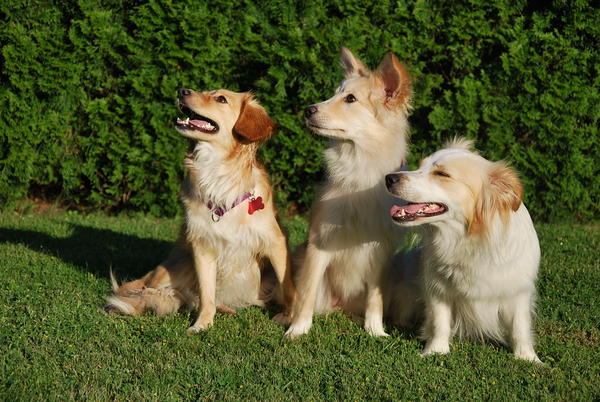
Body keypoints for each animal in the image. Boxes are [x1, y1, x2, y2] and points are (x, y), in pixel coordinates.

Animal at [106, 88, 296, 332]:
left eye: (221, 99)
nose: (181, 90)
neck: (218, 176)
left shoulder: (275, 243)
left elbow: (288, 287)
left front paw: (288, 316)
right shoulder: (202, 246)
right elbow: (206, 294)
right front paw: (202, 324)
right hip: (179, 264)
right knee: (156, 292)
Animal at [284, 48, 412, 338]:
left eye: (350, 99)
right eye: (334, 93)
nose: (307, 110)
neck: (359, 168)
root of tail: (340, 305)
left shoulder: (381, 250)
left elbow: (375, 297)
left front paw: (375, 330)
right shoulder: (319, 243)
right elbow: (306, 293)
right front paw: (298, 329)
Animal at [385, 138, 542, 362]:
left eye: (442, 174)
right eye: (420, 166)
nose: (389, 178)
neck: (466, 239)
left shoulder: (518, 290)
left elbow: (519, 326)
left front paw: (528, 357)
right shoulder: (436, 287)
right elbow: (439, 321)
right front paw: (436, 350)